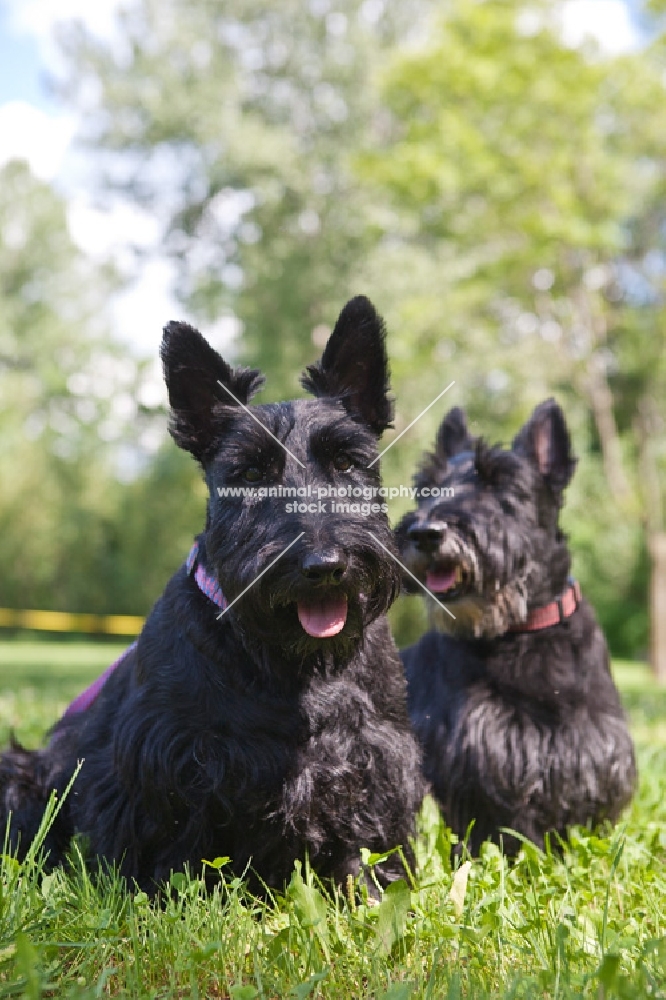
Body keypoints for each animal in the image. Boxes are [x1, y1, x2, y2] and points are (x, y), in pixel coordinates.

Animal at [0, 294, 422, 892]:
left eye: (346, 462)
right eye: (249, 473)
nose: (324, 566)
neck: (291, 667)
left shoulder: (377, 757)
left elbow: (363, 838)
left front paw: (368, 894)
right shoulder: (169, 757)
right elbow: (172, 847)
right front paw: (168, 897)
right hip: (20, 774)